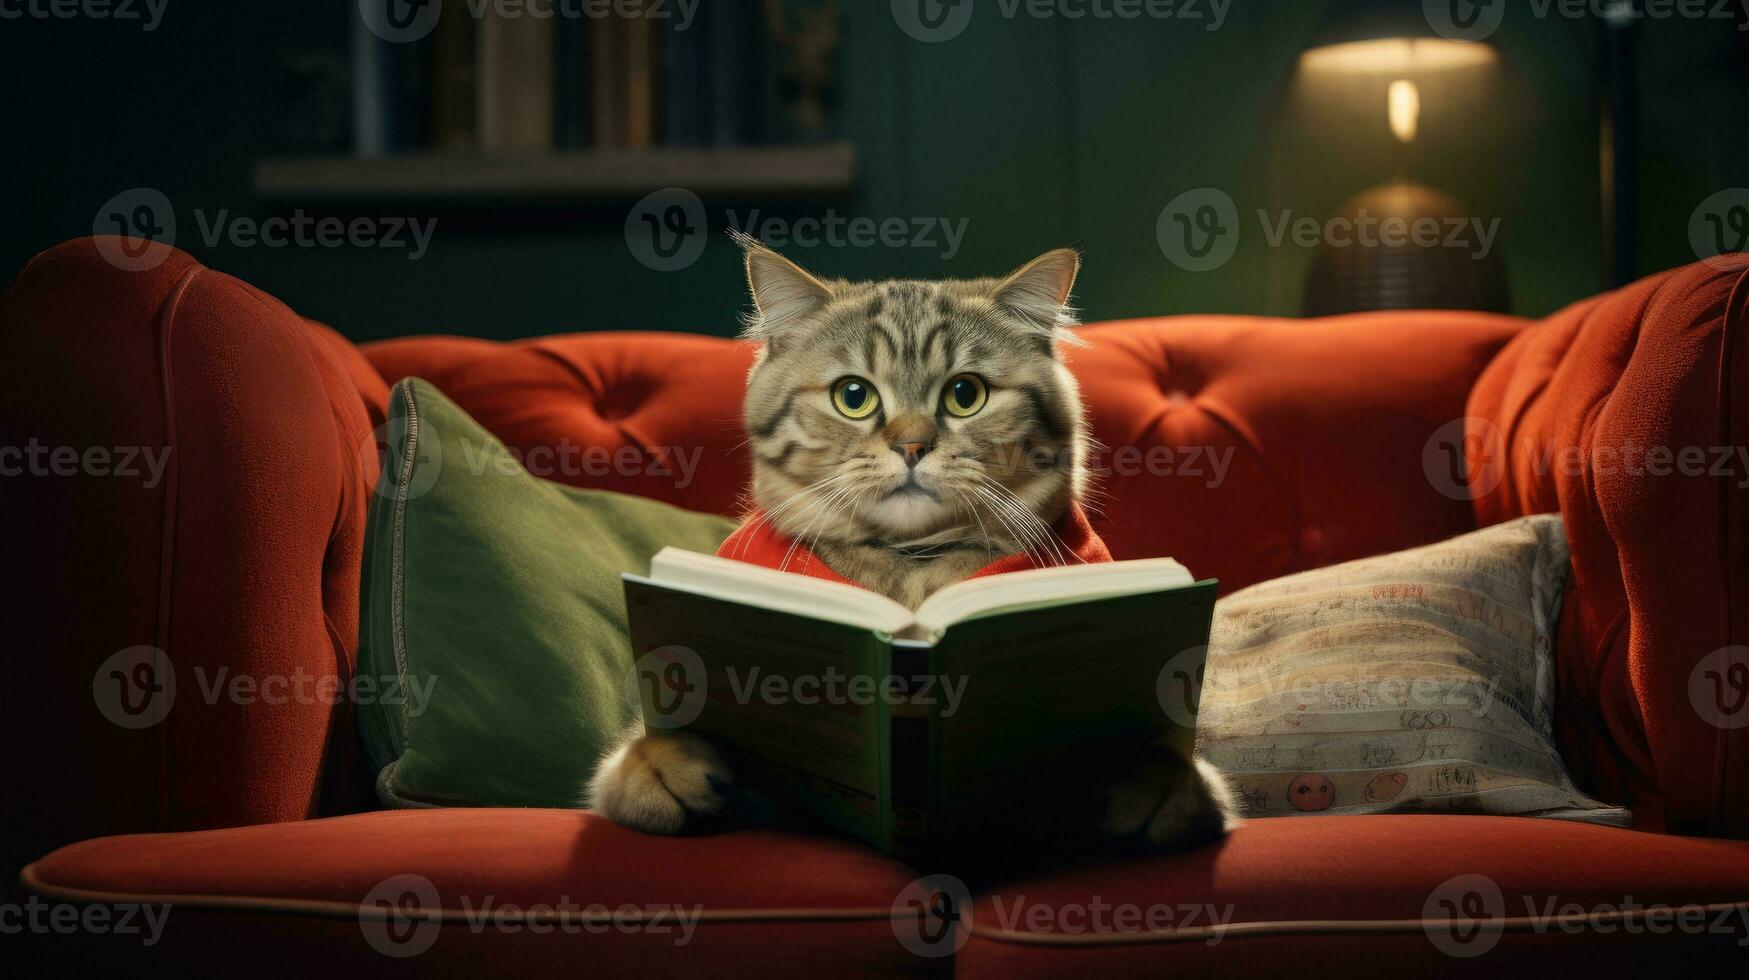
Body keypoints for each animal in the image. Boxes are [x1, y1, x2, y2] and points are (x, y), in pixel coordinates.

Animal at [580, 238, 1238, 850]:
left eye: (966, 394)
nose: (913, 445)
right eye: (854, 396)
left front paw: (1150, 773)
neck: (912, 570)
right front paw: (663, 762)